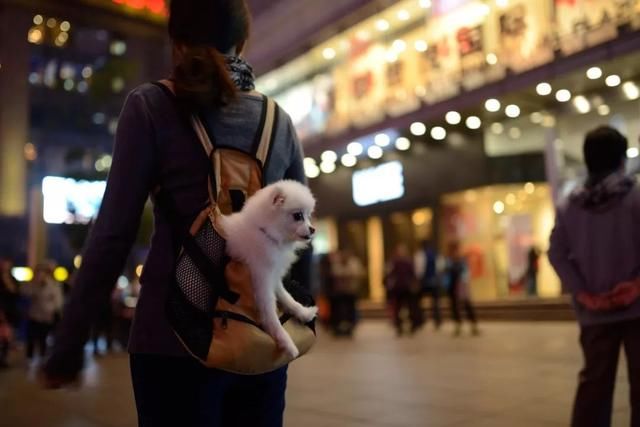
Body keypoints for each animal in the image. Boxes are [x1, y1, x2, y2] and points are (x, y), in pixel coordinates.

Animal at [220, 179, 320, 360]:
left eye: (308, 216)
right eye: (298, 216)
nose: (312, 229)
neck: (266, 233)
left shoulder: (273, 276)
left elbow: (286, 297)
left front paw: (302, 312)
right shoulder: (262, 279)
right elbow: (270, 312)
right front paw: (285, 341)